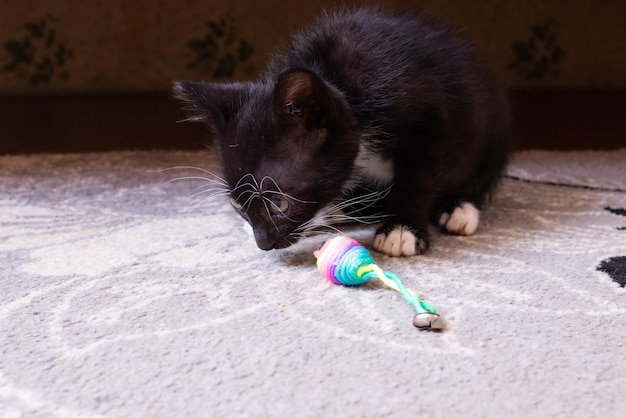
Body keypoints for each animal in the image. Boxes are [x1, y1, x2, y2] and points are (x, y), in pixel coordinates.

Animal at [173, 8, 510, 256]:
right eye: (237, 205)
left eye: (279, 203)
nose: (264, 244)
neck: (344, 84)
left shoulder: (431, 118)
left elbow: (418, 179)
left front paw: (402, 229)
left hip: (491, 126)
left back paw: (459, 207)